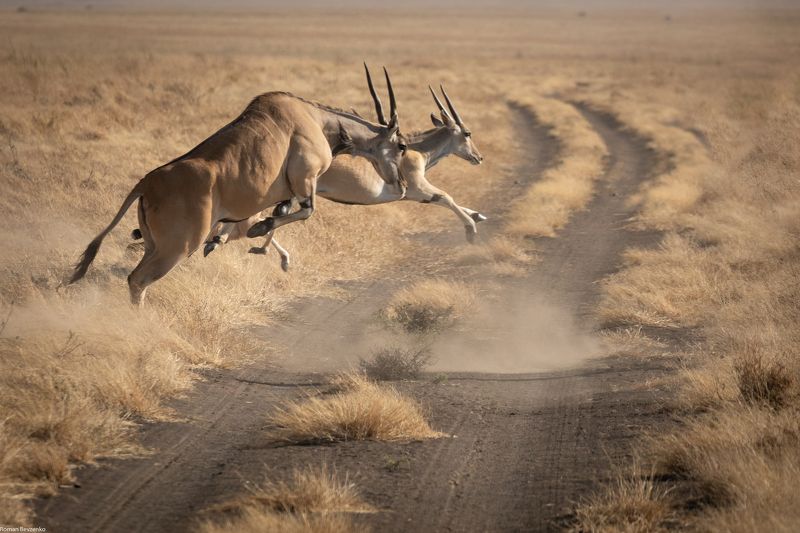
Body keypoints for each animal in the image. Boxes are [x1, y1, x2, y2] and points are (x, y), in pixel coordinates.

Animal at [70, 69, 404, 305]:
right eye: (401, 145)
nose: (400, 185)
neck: (317, 120)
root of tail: (148, 182)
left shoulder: (283, 197)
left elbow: (275, 217)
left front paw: (231, 241)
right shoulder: (306, 181)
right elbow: (301, 213)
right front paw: (256, 233)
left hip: (155, 245)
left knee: (135, 277)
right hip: (176, 248)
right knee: (137, 280)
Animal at [204, 80, 485, 270]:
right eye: (467, 133)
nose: (478, 157)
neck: (417, 149)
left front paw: (477, 215)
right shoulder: (416, 189)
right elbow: (446, 197)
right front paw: (471, 230)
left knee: (253, 218)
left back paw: (226, 243)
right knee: (255, 219)